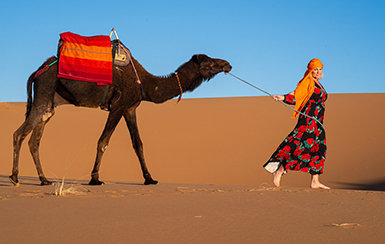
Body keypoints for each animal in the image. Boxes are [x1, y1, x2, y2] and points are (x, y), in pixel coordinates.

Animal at [9, 41, 231, 186]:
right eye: (209, 62)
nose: (227, 64)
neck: (147, 84)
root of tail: (37, 71)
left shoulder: (130, 108)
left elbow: (138, 143)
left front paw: (149, 179)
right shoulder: (117, 106)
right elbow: (103, 141)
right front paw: (95, 178)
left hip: (49, 105)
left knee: (34, 141)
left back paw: (44, 180)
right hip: (43, 97)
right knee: (19, 134)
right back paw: (15, 177)